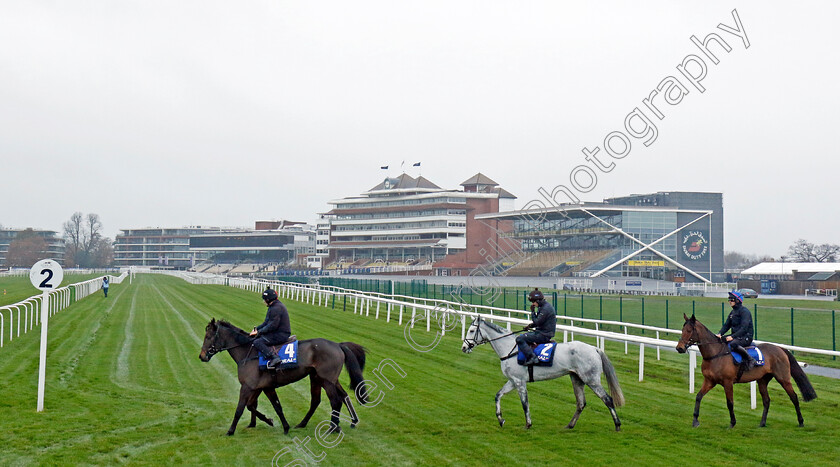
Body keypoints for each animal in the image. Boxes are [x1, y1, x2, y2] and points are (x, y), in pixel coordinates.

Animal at [200, 320, 368, 436]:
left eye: (208, 337)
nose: (201, 356)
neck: (248, 352)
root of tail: (338, 345)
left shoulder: (247, 387)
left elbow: (240, 408)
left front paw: (230, 430)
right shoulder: (262, 387)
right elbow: (266, 406)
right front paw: (274, 423)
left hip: (326, 380)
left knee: (335, 401)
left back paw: (332, 427)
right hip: (321, 378)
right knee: (332, 398)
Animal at [462, 318, 620, 432]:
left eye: (471, 330)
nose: (464, 347)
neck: (510, 349)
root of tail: (594, 348)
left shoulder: (519, 381)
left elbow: (524, 403)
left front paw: (528, 424)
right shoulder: (512, 381)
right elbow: (498, 395)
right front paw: (501, 419)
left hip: (591, 379)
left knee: (607, 399)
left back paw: (617, 425)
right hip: (577, 378)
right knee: (581, 403)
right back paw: (570, 425)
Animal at [672, 314, 816, 428]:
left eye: (689, 330)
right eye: (682, 329)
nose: (679, 348)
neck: (715, 354)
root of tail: (780, 348)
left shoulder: (728, 382)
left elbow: (730, 403)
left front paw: (732, 423)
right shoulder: (709, 381)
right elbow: (698, 397)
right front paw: (695, 421)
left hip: (783, 378)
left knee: (794, 397)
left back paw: (801, 421)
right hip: (762, 380)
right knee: (767, 400)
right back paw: (762, 423)